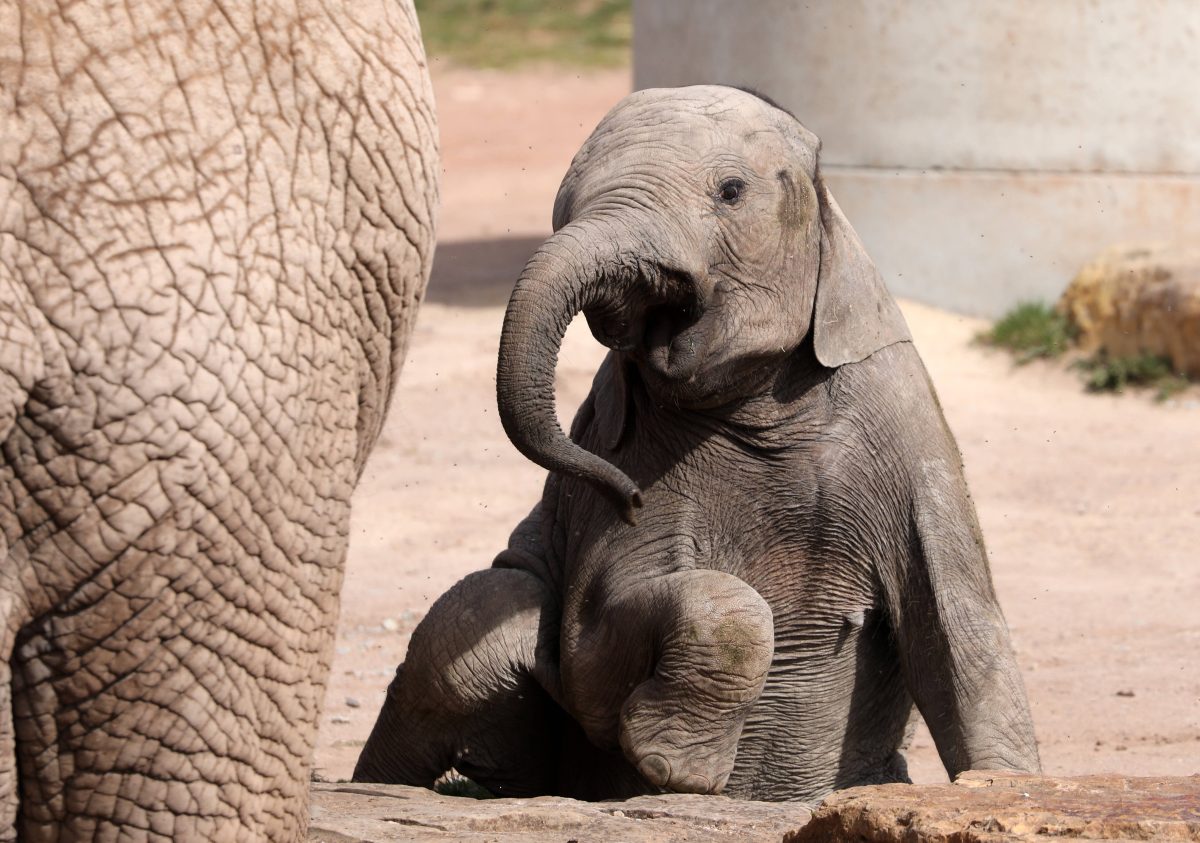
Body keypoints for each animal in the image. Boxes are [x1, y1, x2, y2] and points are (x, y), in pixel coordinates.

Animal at [355, 85, 1041, 806]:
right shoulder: (624, 447)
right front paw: (678, 772)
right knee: (479, 614)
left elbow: (960, 632)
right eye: (561, 208)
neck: (763, 400)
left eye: (731, 192)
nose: (624, 497)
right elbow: (588, 657)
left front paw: (1001, 785)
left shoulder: (908, 430)